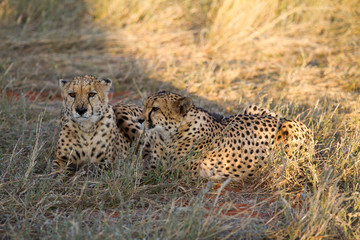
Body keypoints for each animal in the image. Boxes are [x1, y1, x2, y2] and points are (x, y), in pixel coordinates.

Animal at [139, 91, 314, 181]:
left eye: (155, 109)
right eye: (144, 105)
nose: (140, 120)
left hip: (288, 129)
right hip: (250, 108)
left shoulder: (181, 173)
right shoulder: (155, 163)